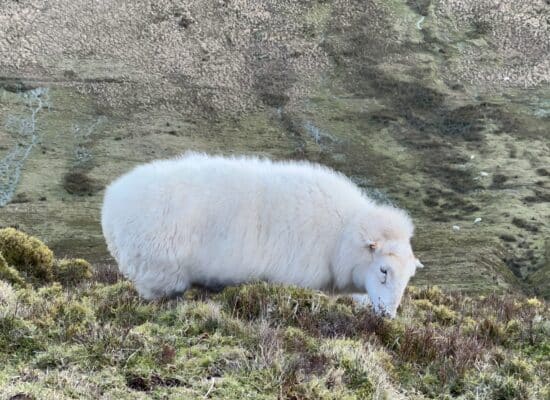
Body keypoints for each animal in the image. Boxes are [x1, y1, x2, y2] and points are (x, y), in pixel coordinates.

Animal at [101, 154, 424, 318]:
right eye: (384, 270)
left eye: (409, 276)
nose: (388, 315)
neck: (343, 234)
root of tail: (112, 200)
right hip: (158, 273)